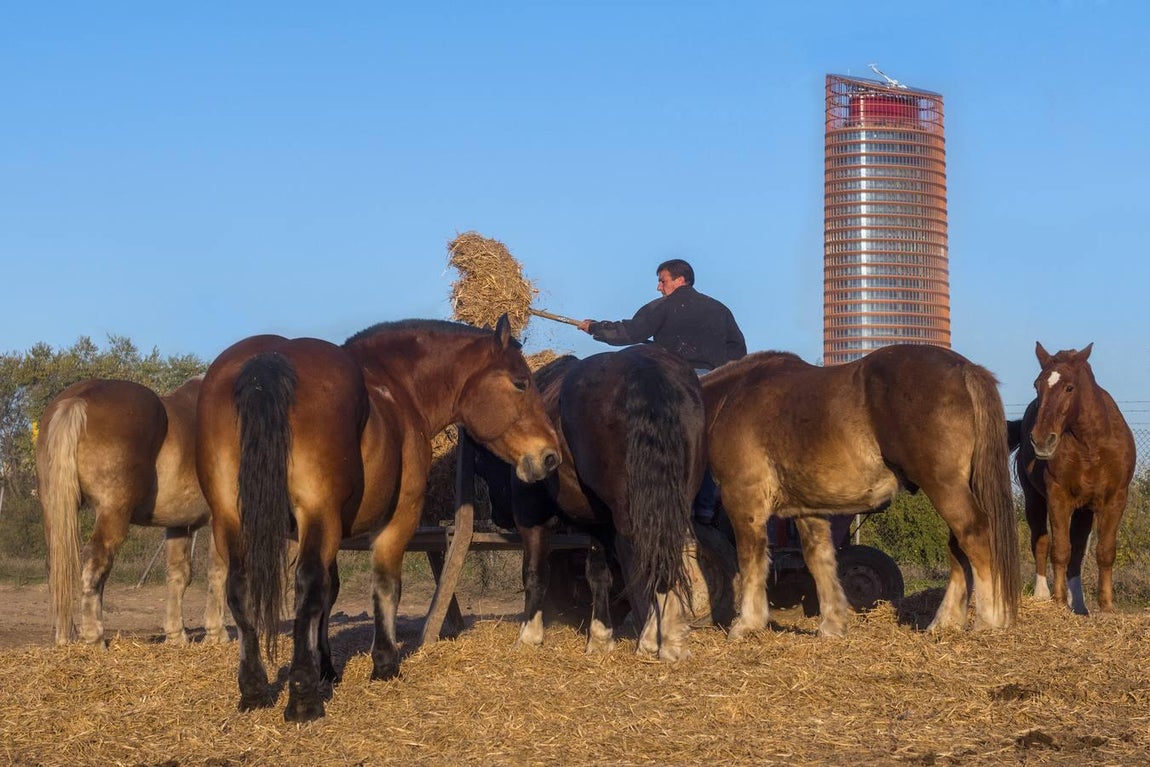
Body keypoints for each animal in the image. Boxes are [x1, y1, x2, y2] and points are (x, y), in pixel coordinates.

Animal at [36, 376, 228, 646]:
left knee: (57, 568)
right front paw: (217, 633)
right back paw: (94, 637)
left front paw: (176, 636)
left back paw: (66, 637)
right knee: (95, 562)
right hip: (112, 512)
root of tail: (78, 398)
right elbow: (218, 571)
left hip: (53, 510)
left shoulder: (179, 524)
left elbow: (179, 575)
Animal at [195, 315, 560, 721]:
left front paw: (327, 668)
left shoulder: (332, 532)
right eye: (520, 382)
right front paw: (384, 663)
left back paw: (255, 690)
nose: (549, 455)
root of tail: (270, 359)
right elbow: (384, 586)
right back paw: (303, 700)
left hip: (231, 517)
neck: (396, 390)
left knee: (241, 587)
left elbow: (330, 594)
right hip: (313, 513)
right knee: (306, 586)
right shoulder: (395, 519)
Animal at [478, 344, 705, 661]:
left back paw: (661, 639)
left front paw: (529, 635)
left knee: (651, 556)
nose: (498, 515)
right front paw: (600, 636)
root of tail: (644, 367)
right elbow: (599, 575)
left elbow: (535, 572)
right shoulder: (600, 524)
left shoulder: (531, 513)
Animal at [701, 344, 1020, 640]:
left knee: (976, 536)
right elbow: (820, 560)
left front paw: (746, 623)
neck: (730, 399)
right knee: (959, 548)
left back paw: (989, 620)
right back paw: (945, 622)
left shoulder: (743, 498)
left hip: (944, 486)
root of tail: (965, 369)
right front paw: (832, 625)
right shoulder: (808, 508)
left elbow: (750, 561)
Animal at [1014, 342, 1136, 615]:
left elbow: (1103, 551)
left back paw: (1079, 605)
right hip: (1034, 499)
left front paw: (1107, 607)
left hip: (1084, 510)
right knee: (1040, 542)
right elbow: (1060, 549)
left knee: (1078, 551)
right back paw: (1041, 596)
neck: (1091, 445)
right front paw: (1059, 601)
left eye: (1069, 387)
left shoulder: (1115, 500)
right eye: (1037, 385)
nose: (1041, 440)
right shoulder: (1058, 497)